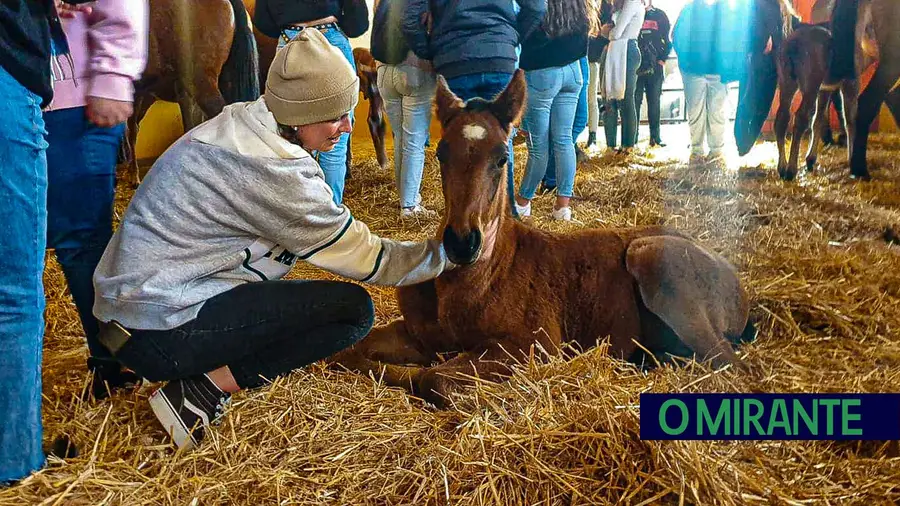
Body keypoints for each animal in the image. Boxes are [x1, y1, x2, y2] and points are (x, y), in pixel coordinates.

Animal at [334, 70, 756, 408]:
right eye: (440, 154)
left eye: (503, 158)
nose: (461, 243)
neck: (479, 276)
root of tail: (734, 279)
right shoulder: (419, 335)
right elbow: (351, 352)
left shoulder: (535, 344)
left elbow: (433, 378)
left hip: (650, 255)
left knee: (728, 365)